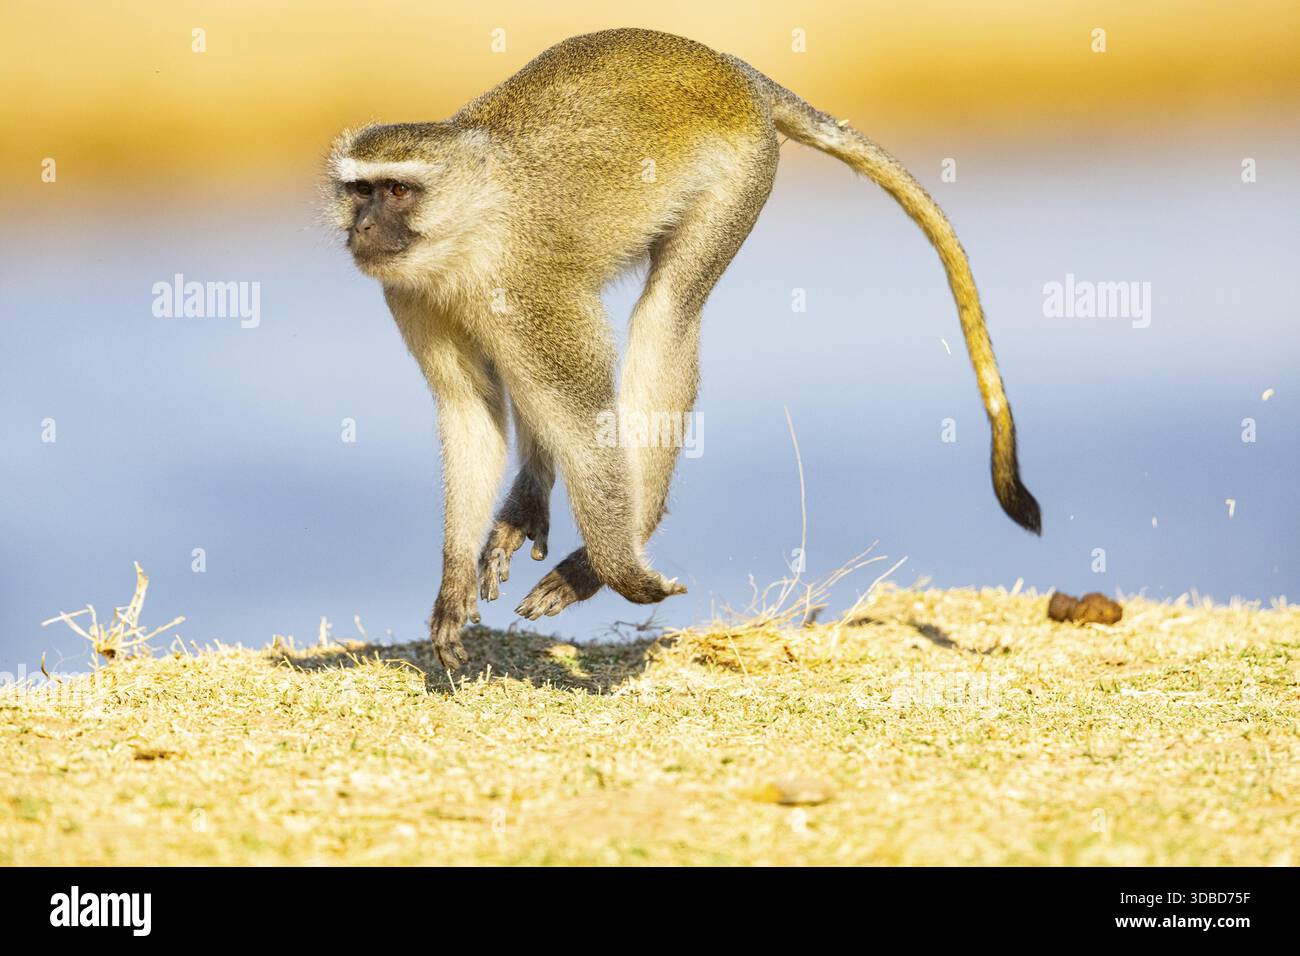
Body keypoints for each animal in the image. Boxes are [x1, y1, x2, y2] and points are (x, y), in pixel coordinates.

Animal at [326, 28, 1040, 668]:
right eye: (359, 192)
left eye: (397, 191)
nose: (362, 229)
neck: (467, 233)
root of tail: (731, 67)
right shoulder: (412, 295)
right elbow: (470, 413)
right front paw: (451, 586)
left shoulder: (528, 287)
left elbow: (583, 414)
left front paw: (616, 565)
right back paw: (529, 502)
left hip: (743, 173)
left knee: (665, 318)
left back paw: (610, 552)